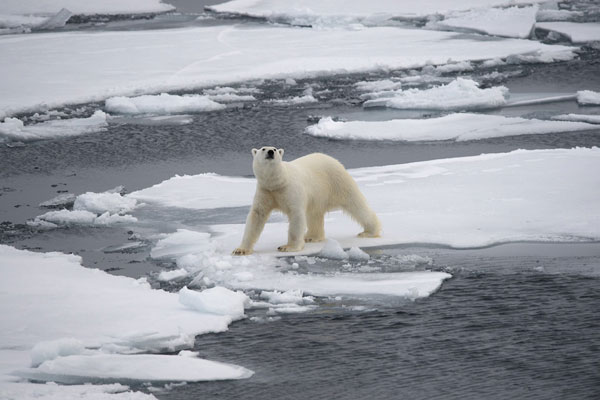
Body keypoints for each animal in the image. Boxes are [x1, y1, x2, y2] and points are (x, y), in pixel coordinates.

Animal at [233, 145, 380, 255]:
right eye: (263, 148)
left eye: (274, 149)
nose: (270, 152)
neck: (278, 182)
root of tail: (332, 159)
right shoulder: (265, 191)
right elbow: (256, 216)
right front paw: (240, 250)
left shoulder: (291, 190)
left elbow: (296, 216)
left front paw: (287, 247)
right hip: (318, 195)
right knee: (314, 214)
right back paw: (311, 236)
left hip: (338, 181)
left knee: (356, 204)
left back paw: (369, 232)